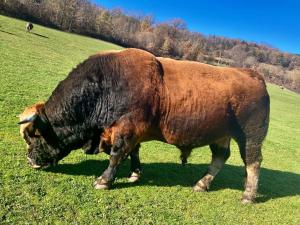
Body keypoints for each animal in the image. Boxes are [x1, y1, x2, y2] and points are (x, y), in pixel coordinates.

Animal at [18, 48, 270, 203]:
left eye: (34, 136)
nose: (30, 160)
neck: (106, 84)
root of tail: (254, 75)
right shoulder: (131, 133)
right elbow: (133, 153)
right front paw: (134, 174)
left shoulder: (126, 130)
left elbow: (116, 155)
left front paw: (103, 181)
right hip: (221, 135)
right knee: (220, 157)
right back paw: (201, 184)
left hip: (249, 137)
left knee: (253, 162)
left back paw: (248, 196)